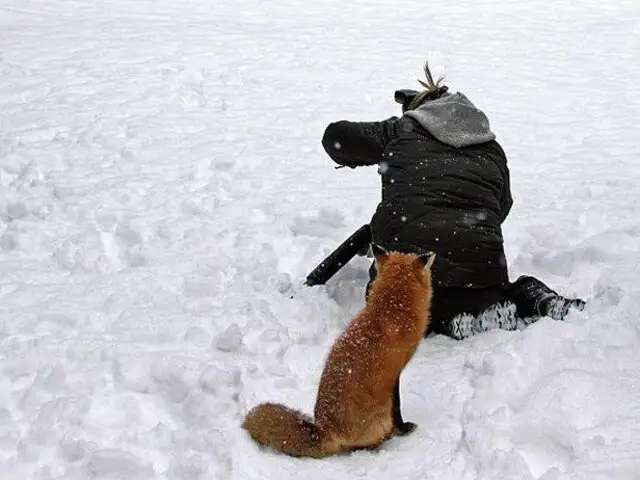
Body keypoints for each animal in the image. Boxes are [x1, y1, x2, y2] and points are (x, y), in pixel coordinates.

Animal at [241, 246, 436, 460]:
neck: (392, 310)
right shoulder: (395, 373)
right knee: (362, 446)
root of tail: (324, 429)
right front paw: (403, 429)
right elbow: (397, 407)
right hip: (380, 421)